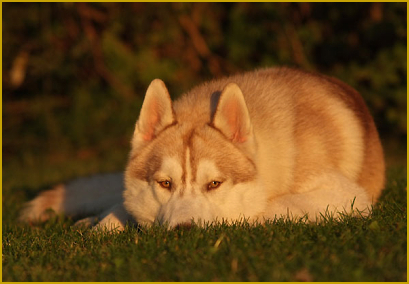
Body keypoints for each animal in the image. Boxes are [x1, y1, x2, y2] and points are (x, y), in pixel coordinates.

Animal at [19, 67, 384, 230]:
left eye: (214, 184)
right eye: (165, 183)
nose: (185, 231)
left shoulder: (345, 196)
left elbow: (266, 209)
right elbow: (121, 209)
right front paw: (103, 226)